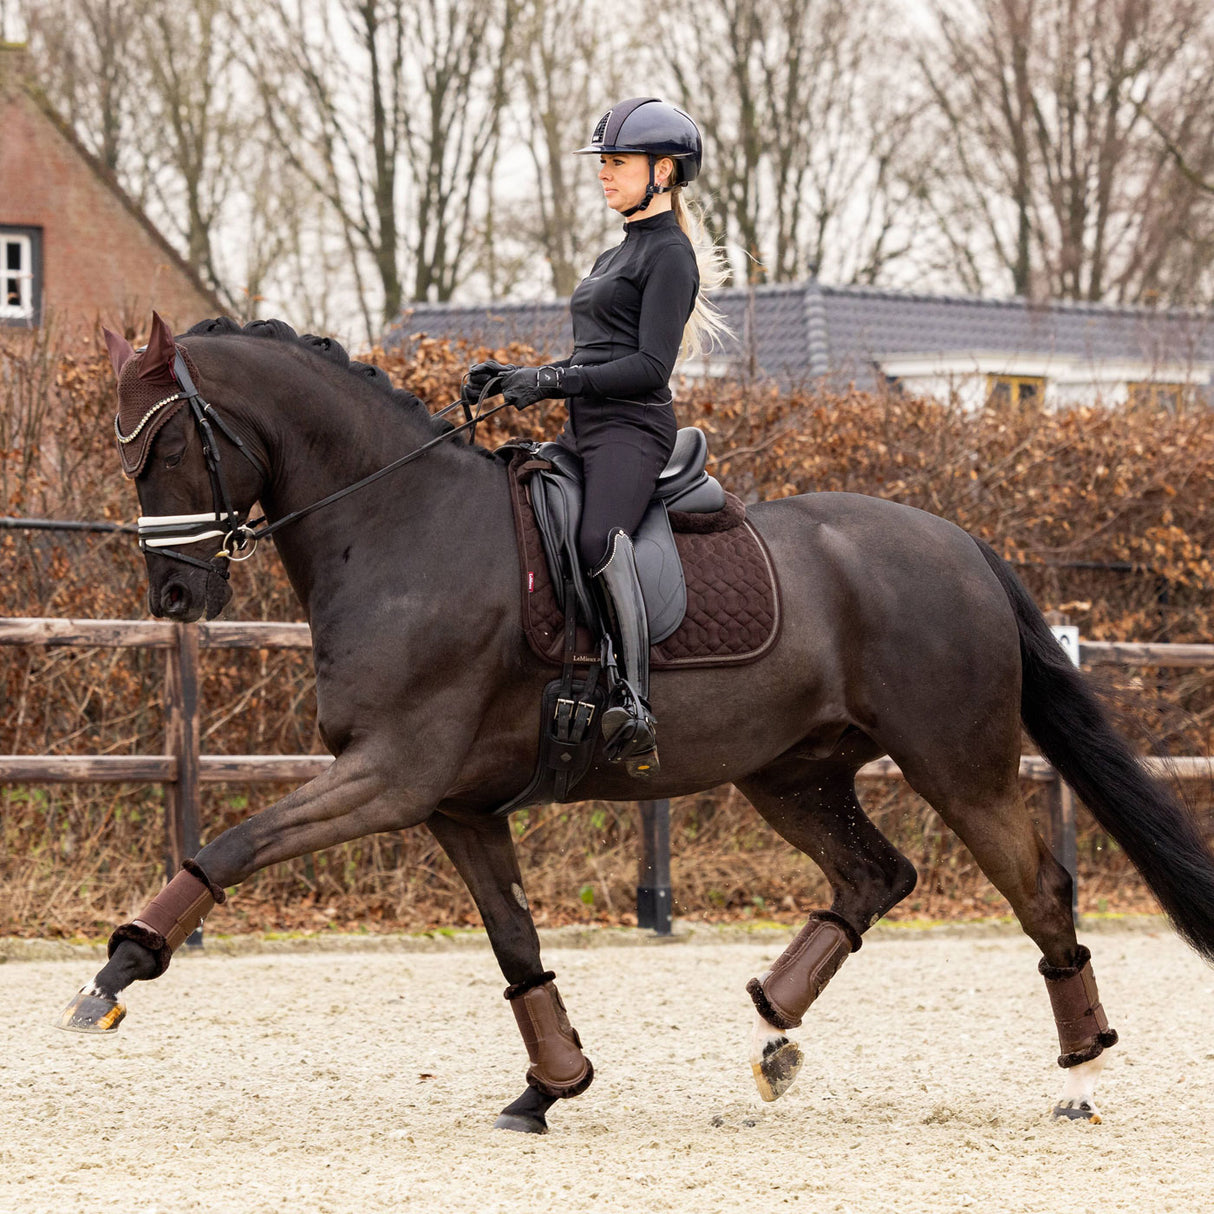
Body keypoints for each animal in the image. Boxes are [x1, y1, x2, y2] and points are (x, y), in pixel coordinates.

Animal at [61, 313, 1214, 1126]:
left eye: (166, 444)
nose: (173, 596)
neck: (400, 528)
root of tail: (959, 541)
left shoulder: (389, 775)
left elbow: (230, 843)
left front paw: (115, 970)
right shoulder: (455, 806)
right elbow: (516, 944)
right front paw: (551, 1083)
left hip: (954, 760)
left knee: (1039, 890)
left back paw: (1078, 1071)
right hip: (791, 772)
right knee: (874, 877)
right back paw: (772, 1030)